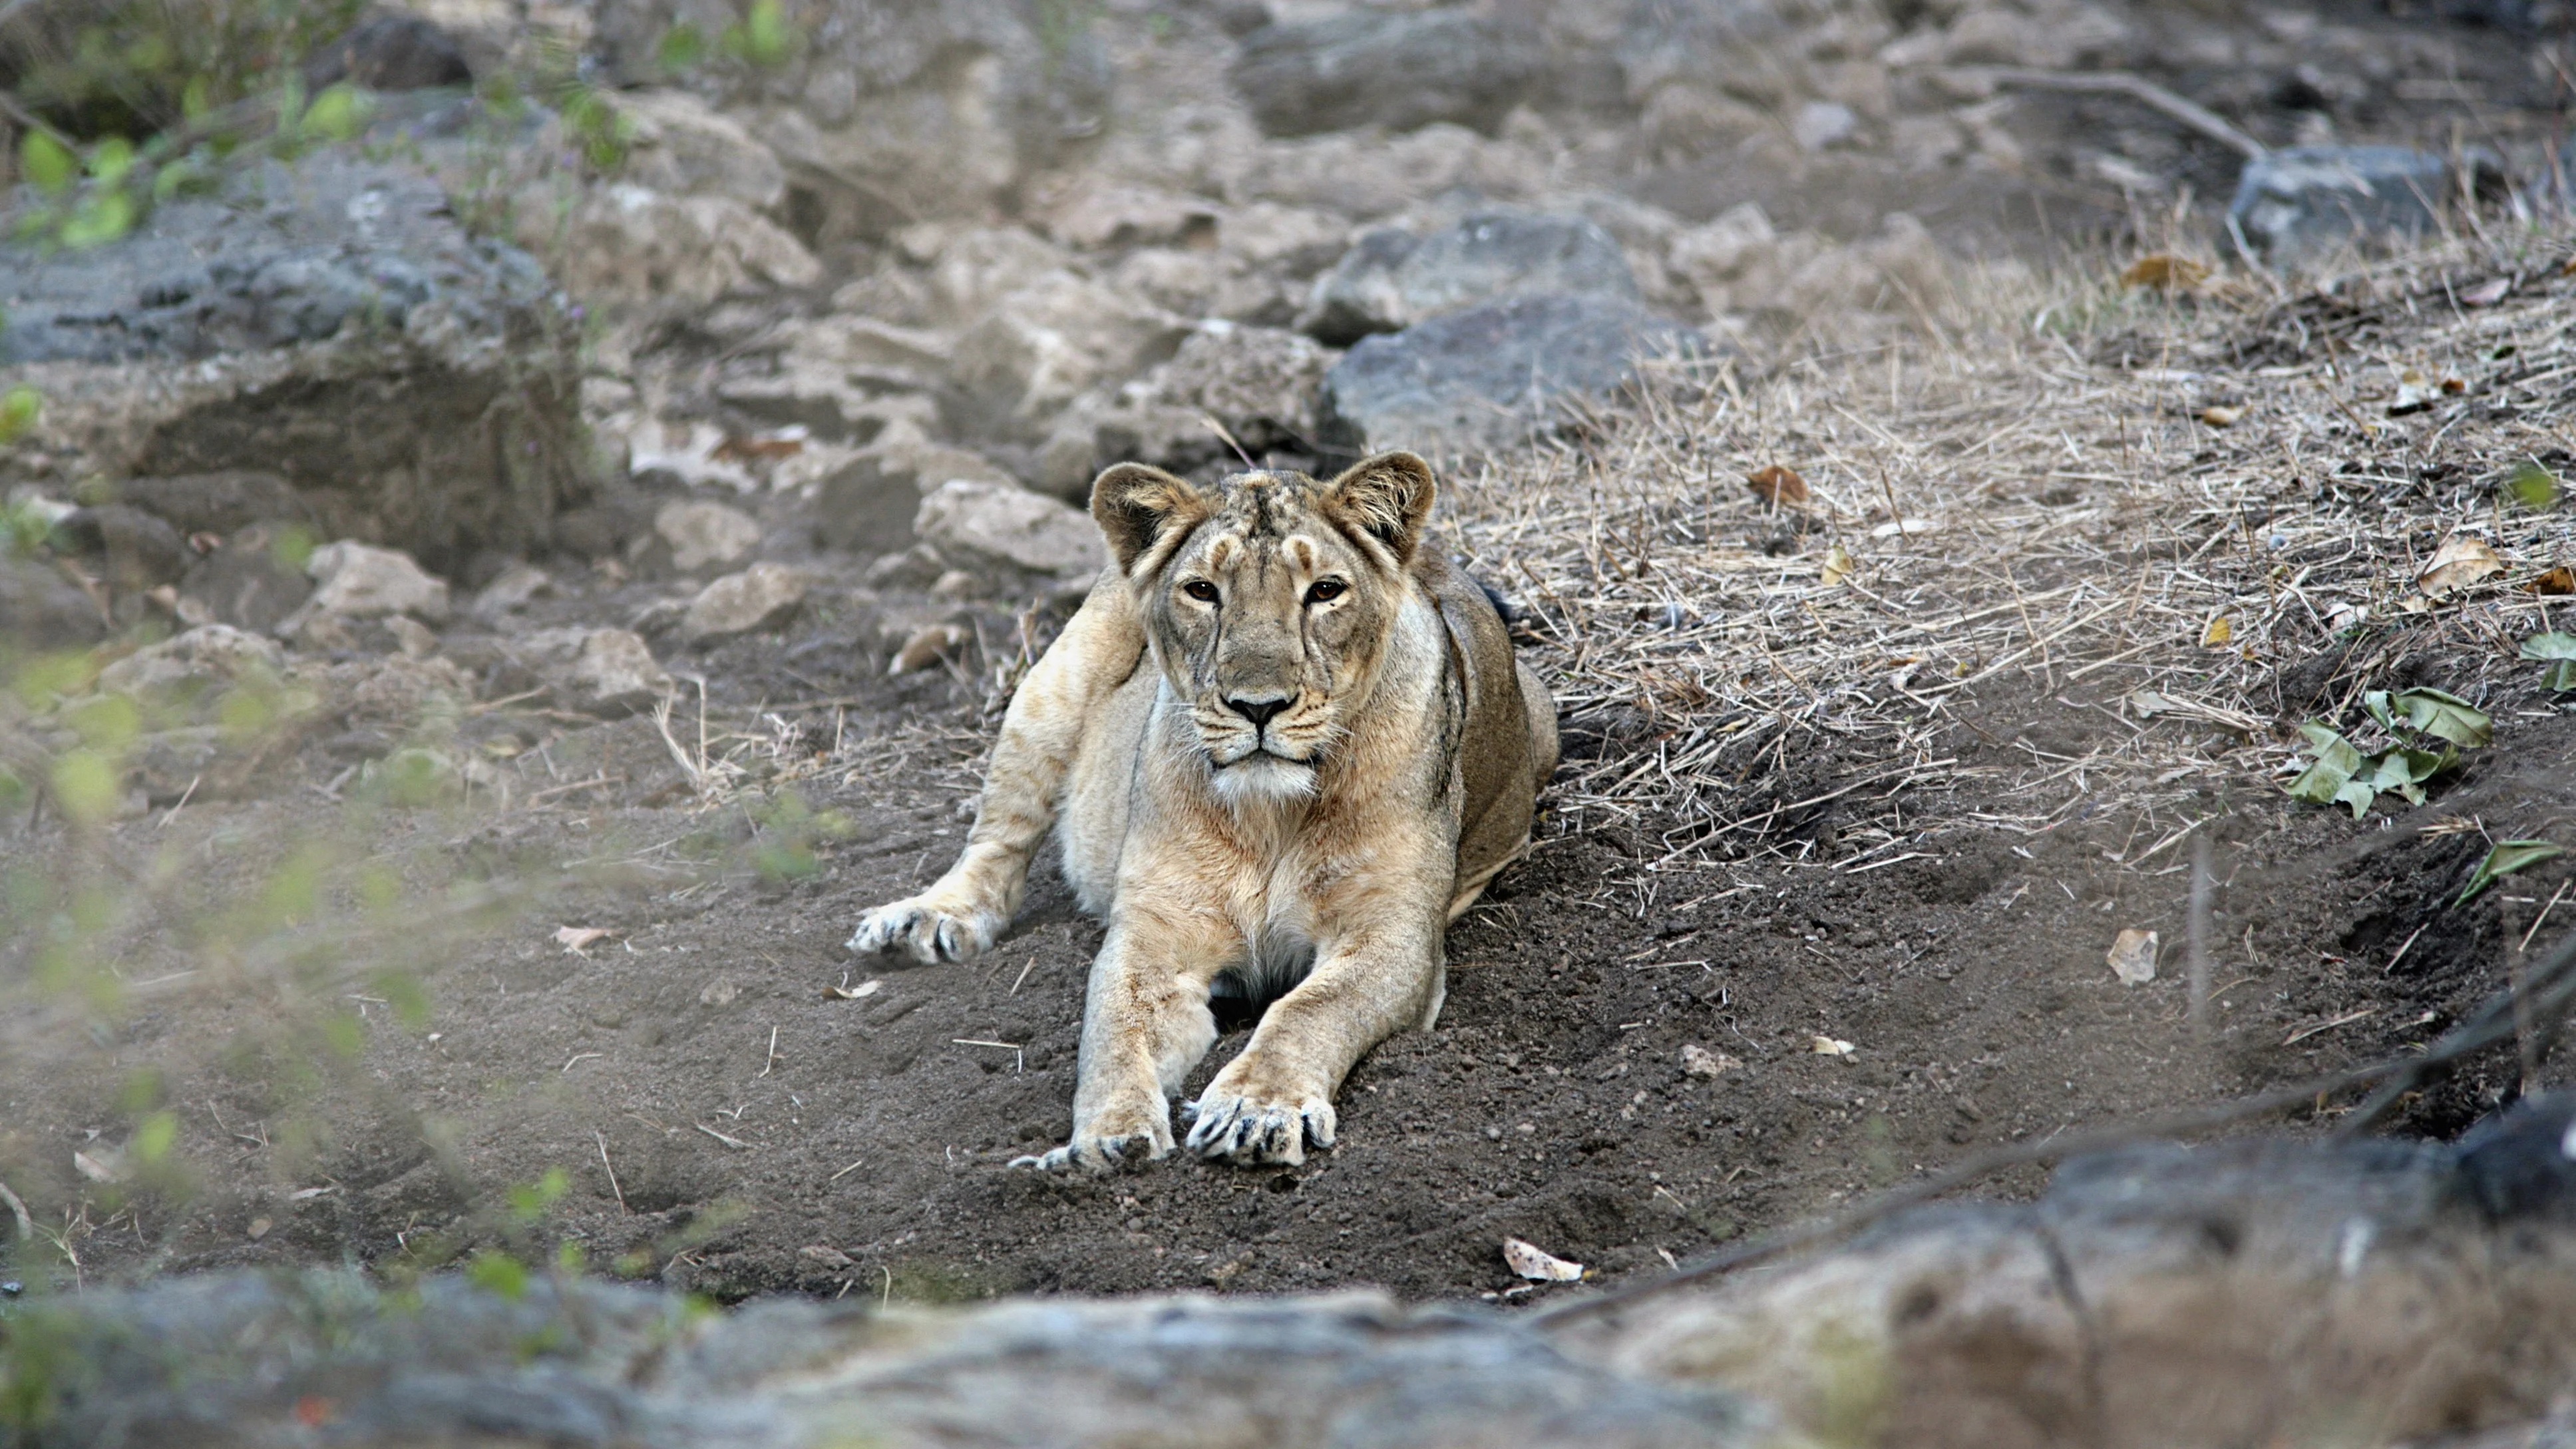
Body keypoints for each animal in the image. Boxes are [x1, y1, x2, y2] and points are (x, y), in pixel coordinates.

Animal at [848, 451, 1557, 1171]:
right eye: (1202, 591)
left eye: (1325, 591)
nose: (1258, 706)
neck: (1271, 814)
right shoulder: (1155, 937)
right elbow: (1113, 1036)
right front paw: (1100, 1142)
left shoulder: (1393, 935)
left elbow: (1310, 1008)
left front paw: (1256, 1108)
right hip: (1051, 683)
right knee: (998, 837)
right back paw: (926, 918)